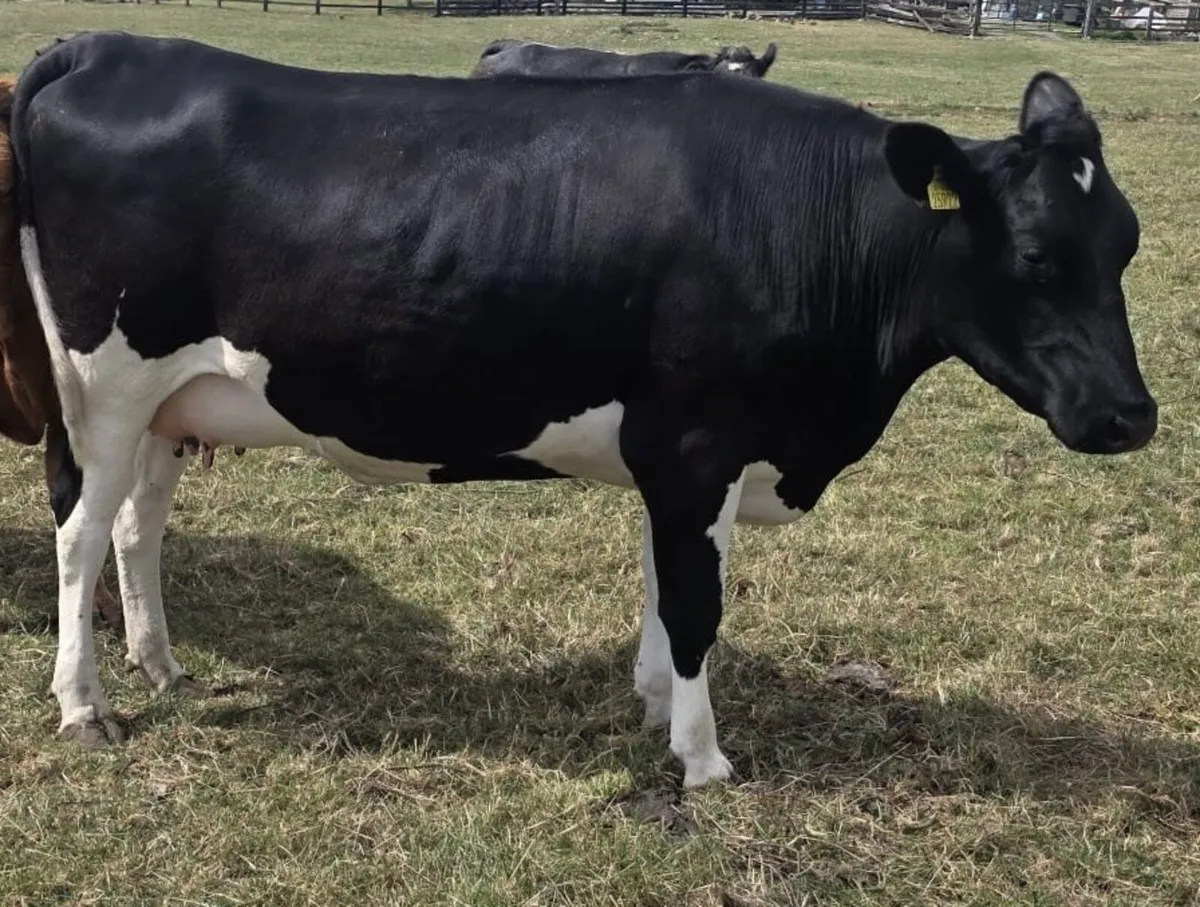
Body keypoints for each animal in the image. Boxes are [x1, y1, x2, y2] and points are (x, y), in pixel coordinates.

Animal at [6, 31, 1156, 787]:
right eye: (1037, 254)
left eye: (1128, 244)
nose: (1132, 417)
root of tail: (110, 45)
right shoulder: (699, 443)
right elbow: (697, 601)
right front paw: (703, 757)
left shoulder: (682, 455)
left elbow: (662, 582)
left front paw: (653, 703)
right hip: (101, 387)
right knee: (77, 531)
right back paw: (85, 705)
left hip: (171, 404)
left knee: (137, 525)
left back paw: (161, 666)